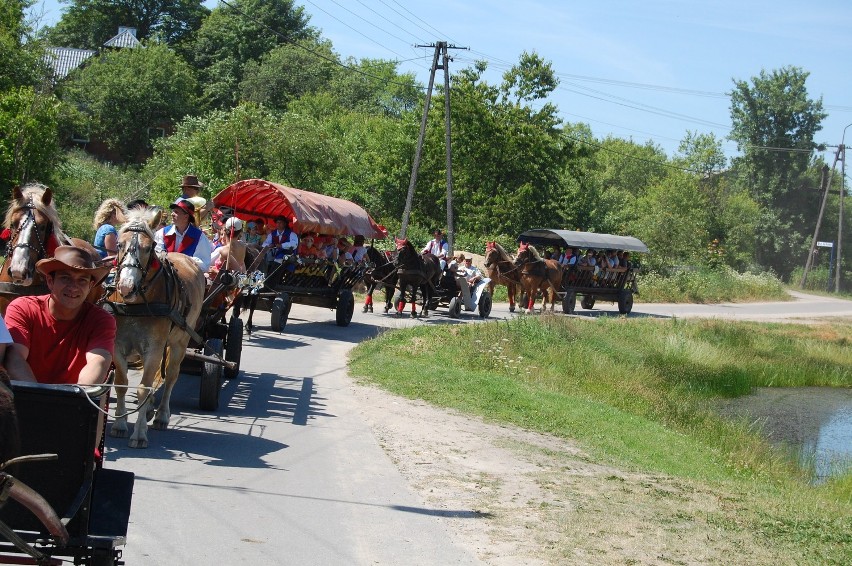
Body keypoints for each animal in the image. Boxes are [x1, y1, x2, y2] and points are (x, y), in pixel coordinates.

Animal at [105, 209, 206, 448]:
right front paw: (119, 424)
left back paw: (161, 415)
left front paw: (139, 433)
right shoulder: (117, 344)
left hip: (180, 342)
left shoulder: (154, 348)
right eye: (119, 244)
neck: (136, 305)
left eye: (148, 247)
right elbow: (122, 383)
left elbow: (144, 387)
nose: (126, 287)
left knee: (170, 376)